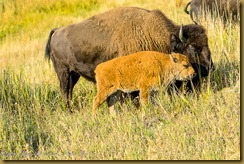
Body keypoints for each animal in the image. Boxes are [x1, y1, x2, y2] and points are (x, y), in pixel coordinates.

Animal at [45, 6, 214, 110]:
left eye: (207, 43)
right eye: (193, 47)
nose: (209, 67)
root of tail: (57, 31)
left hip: (74, 74)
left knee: (69, 91)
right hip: (64, 72)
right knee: (65, 91)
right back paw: (69, 111)